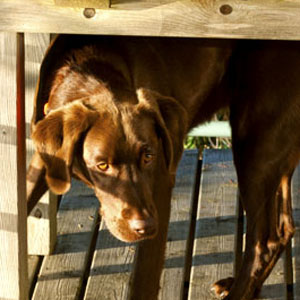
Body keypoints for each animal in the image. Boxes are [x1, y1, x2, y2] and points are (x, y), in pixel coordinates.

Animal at [26, 34, 300, 298]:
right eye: (102, 165)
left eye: (148, 157)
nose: (145, 227)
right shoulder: (43, 159)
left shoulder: (158, 187)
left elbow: (144, 281)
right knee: (283, 228)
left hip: (254, 140)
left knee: (265, 241)